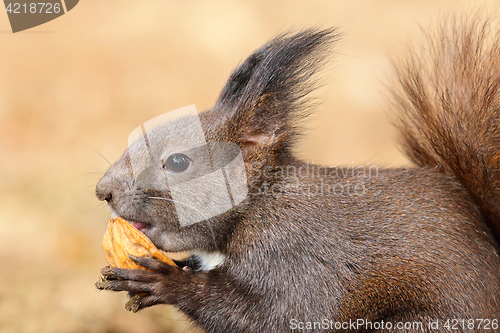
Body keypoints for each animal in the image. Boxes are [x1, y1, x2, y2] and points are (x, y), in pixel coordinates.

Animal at [94, 17, 500, 332]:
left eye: (178, 162)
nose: (103, 191)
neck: (260, 205)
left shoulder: (296, 256)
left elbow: (276, 316)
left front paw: (166, 281)